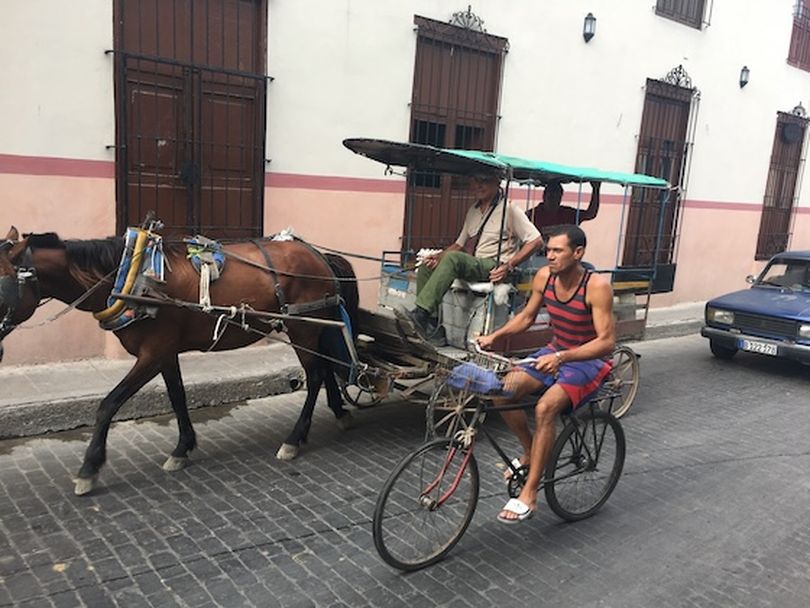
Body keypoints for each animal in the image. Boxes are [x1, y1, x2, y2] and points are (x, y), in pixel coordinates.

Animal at [0, 226, 356, 496]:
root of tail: (319, 255)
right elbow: (177, 396)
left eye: (2, 288)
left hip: (303, 328)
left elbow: (109, 404)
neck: (132, 278)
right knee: (326, 368)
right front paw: (183, 447)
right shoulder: (165, 352)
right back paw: (339, 413)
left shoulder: (152, 353)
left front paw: (89, 467)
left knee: (314, 376)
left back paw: (294, 439)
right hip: (317, 327)